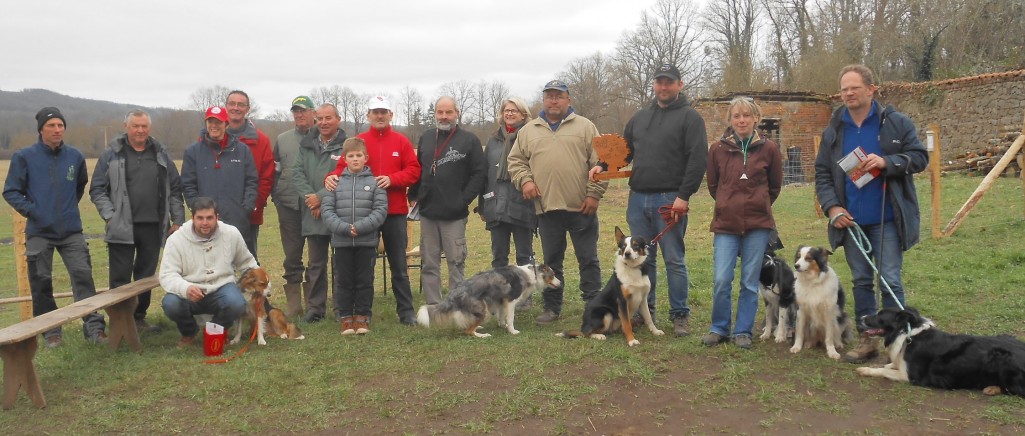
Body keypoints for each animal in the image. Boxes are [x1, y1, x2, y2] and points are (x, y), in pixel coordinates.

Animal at [856, 307, 1025, 395]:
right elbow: (889, 365)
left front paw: (865, 370)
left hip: (1000, 357)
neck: (906, 334)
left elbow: (883, 370)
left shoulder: (911, 377)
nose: (861, 317)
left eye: (879, 316)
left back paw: (992, 388)